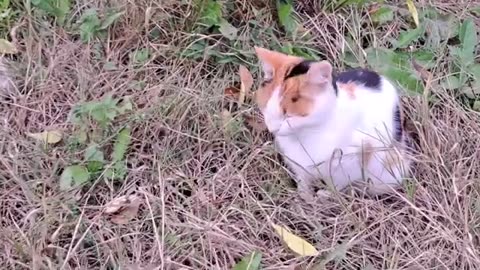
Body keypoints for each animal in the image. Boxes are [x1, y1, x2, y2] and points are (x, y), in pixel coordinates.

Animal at [253, 47, 410, 200]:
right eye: (266, 107)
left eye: (288, 115)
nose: (272, 128)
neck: (304, 135)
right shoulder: (297, 164)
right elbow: (303, 181)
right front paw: (305, 197)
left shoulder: (350, 163)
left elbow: (337, 186)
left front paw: (326, 196)